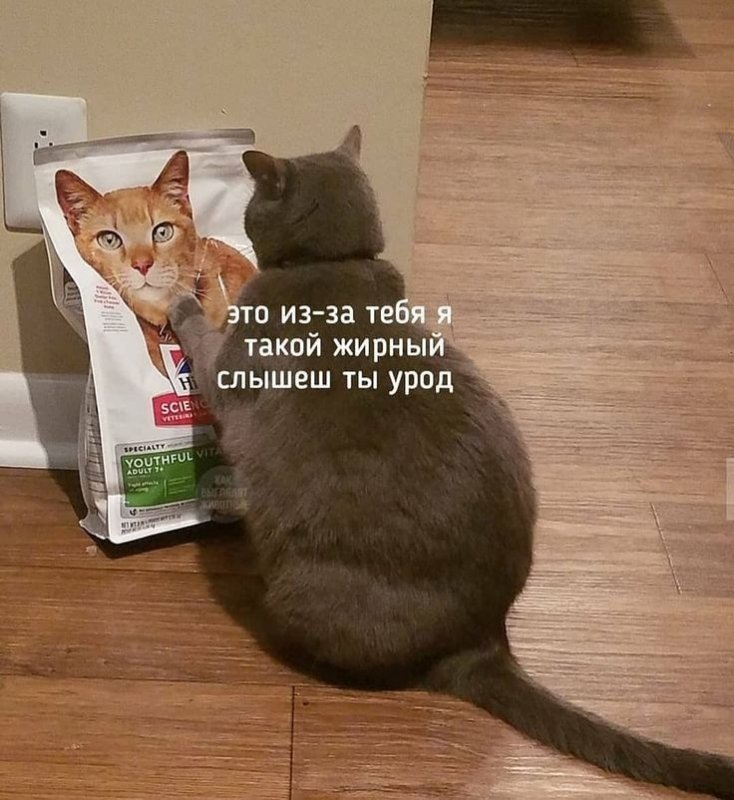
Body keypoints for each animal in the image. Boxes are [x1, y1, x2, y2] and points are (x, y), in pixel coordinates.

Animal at [168, 127, 734, 799]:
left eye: (253, 203)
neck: (334, 264)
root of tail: (486, 641)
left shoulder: (230, 374)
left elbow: (203, 340)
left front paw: (176, 294)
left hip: (306, 582)